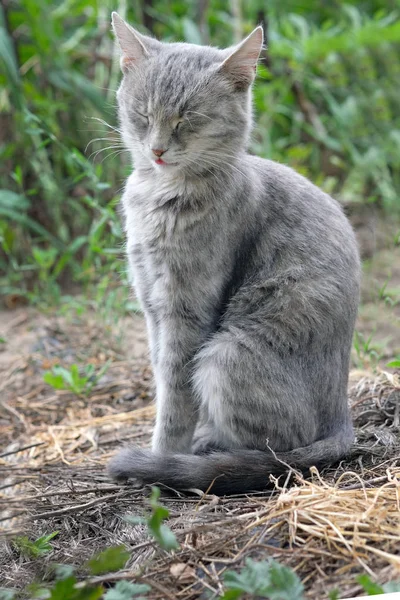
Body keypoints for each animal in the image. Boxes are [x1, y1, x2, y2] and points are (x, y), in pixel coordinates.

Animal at [108, 11, 360, 494]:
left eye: (188, 117)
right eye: (143, 113)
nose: (157, 149)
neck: (159, 197)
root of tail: (342, 420)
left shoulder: (186, 309)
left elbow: (175, 394)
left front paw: (161, 457)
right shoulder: (151, 304)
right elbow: (160, 374)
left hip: (226, 355)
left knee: (278, 446)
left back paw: (208, 451)